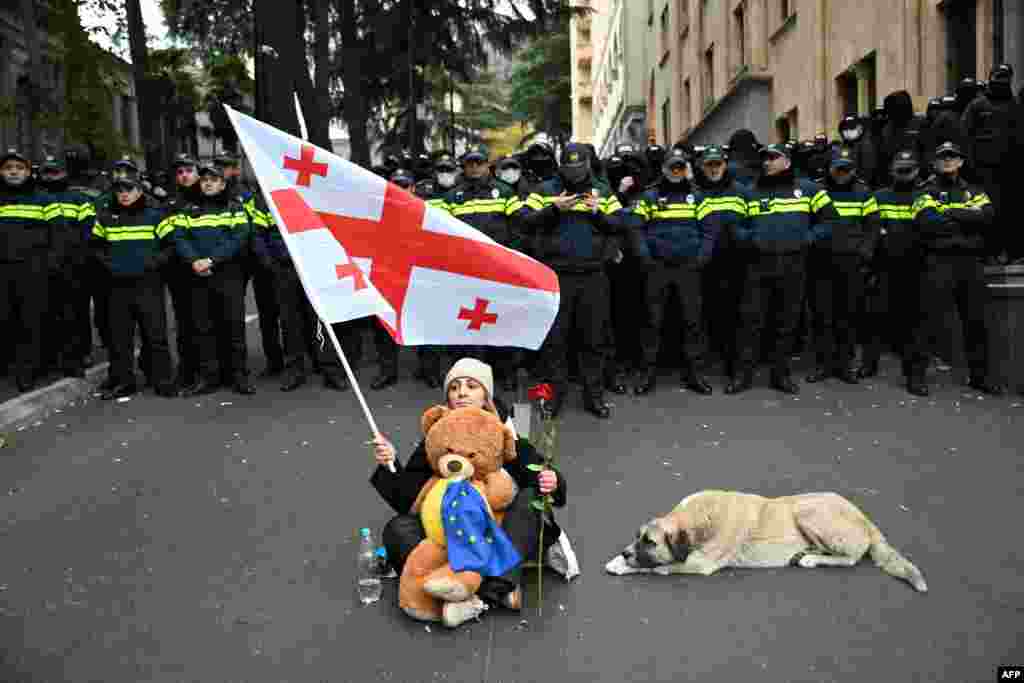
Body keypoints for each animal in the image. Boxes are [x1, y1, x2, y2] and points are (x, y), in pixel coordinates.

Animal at [602, 491, 933, 593]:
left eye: (650, 542)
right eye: (637, 537)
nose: (626, 552)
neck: (700, 517)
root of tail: (865, 519)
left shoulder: (700, 564)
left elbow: (656, 567)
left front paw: (625, 565)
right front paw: (619, 558)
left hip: (807, 510)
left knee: (851, 557)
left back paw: (811, 558)